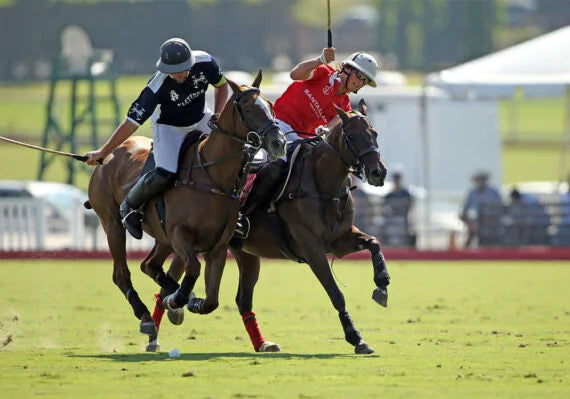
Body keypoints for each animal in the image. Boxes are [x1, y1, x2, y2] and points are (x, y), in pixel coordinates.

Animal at [86, 72, 286, 340]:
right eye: (247, 108)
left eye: (270, 105)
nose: (278, 143)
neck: (212, 176)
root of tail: (107, 156)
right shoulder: (180, 234)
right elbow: (193, 267)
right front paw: (178, 300)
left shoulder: (218, 246)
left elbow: (211, 301)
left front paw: (189, 301)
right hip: (112, 224)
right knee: (121, 273)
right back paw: (146, 316)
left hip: (161, 237)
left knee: (149, 265)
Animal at [152, 104, 390, 354]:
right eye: (351, 136)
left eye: (374, 134)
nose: (378, 172)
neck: (323, 185)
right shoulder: (312, 249)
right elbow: (336, 293)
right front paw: (356, 337)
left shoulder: (340, 241)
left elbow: (374, 243)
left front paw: (382, 285)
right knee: (168, 284)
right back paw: (157, 330)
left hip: (244, 253)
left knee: (242, 299)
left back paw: (260, 342)